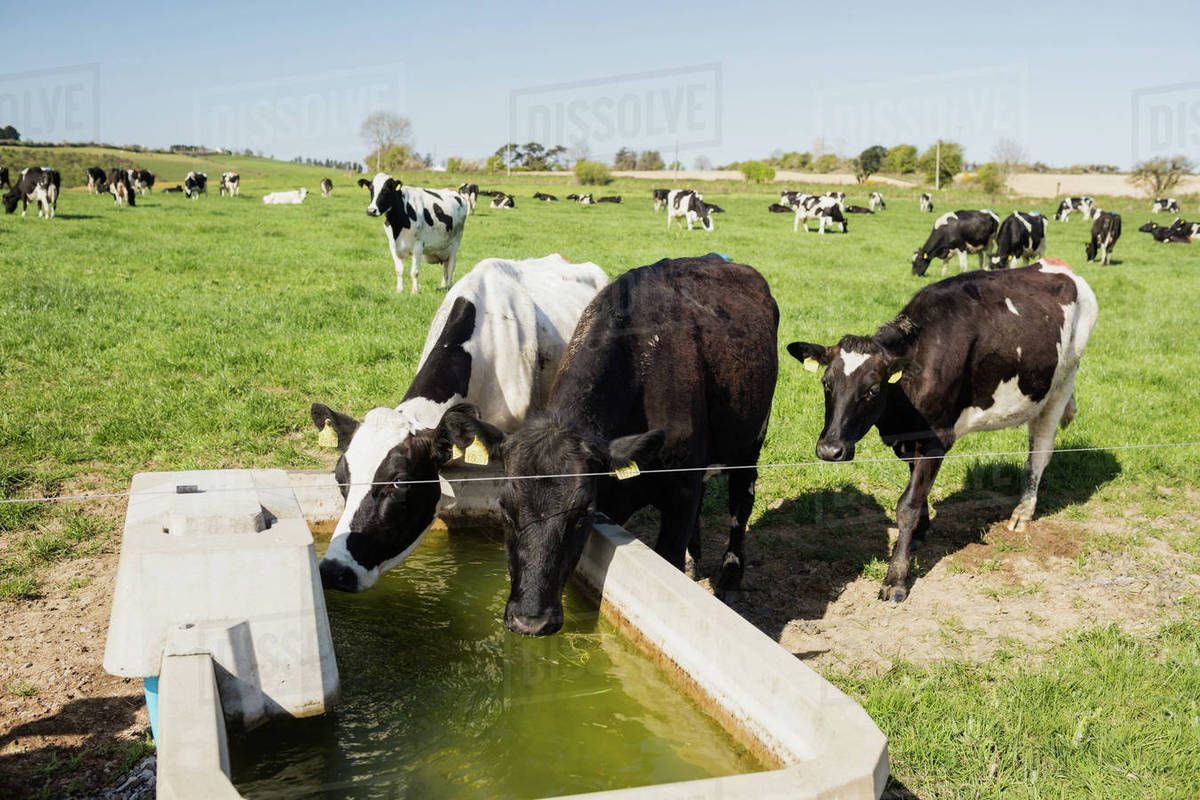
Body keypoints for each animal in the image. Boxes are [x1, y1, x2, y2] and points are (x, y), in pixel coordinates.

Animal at [437, 255, 779, 635]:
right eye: (505, 509)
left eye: (581, 514)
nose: (530, 621)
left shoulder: (681, 490)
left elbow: (672, 553)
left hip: (751, 443)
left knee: (741, 503)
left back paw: (730, 577)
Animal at [787, 259, 1097, 602]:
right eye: (826, 383)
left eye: (872, 390)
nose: (830, 449)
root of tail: (1056, 265)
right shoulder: (911, 439)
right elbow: (917, 493)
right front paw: (919, 533)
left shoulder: (936, 439)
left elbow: (907, 505)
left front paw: (896, 578)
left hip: (1061, 383)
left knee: (1039, 451)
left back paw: (1023, 512)